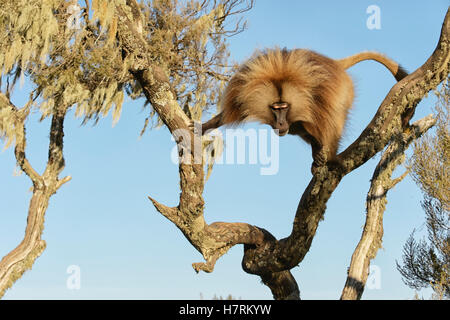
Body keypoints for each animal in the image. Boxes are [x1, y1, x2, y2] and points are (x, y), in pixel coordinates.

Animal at [199, 48, 406, 169]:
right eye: (275, 108)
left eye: (284, 107)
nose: (281, 124)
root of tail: (335, 63)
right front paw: (201, 127)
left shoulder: (322, 98)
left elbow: (329, 122)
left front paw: (329, 157)